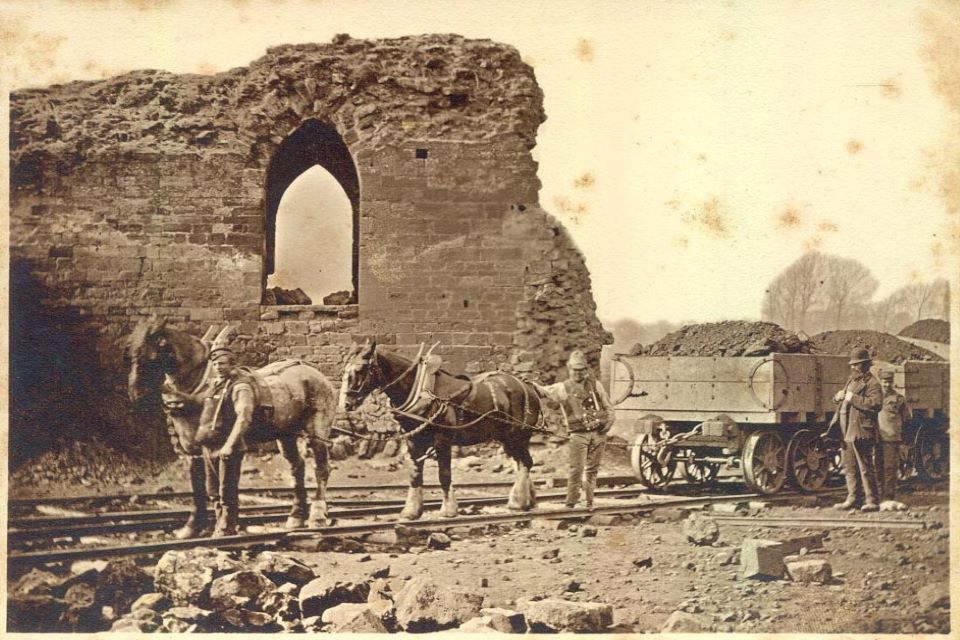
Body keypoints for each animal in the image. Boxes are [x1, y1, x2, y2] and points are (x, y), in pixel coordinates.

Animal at [126, 318, 338, 536]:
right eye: (130, 355)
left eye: (152, 355)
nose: (135, 394)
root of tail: (316, 373)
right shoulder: (192, 450)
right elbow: (198, 486)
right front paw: (193, 526)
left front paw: (223, 524)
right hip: (285, 434)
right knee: (297, 466)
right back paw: (296, 516)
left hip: (318, 429)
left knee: (322, 468)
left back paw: (317, 515)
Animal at [342, 340, 544, 520]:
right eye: (345, 370)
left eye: (360, 370)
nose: (346, 404)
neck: (421, 390)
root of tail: (528, 386)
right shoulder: (413, 440)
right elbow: (415, 475)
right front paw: (412, 511)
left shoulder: (442, 440)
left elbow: (444, 475)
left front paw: (449, 509)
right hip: (507, 438)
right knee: (521, 462)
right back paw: (528, 498)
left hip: (518, 435)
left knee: (526, 462)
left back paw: (519, 501)